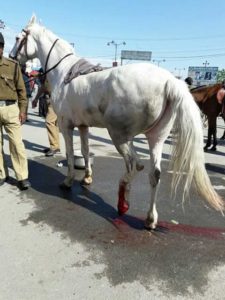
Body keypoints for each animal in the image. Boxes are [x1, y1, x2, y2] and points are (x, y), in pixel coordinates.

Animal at [10, 15, 223, 229]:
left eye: (19, 38)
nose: (12, 58)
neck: (64, 73)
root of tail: (169, 81)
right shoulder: (83, 125)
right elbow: (85, 151)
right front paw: (87, 177)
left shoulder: (66, 125)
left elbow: (70, 154)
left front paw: (68, 181)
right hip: (156, 138)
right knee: (154, 173)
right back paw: (150, 219)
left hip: (119, 136)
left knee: (134, 165)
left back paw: (123, 200)